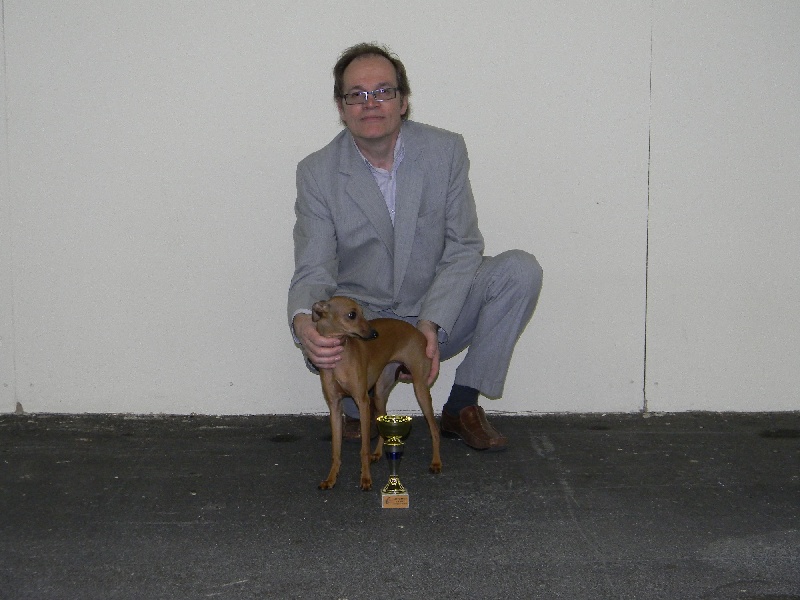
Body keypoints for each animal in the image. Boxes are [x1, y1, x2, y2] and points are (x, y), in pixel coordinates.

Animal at [311, 296, 442, 491]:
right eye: (352, 314)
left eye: (362, 312)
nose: (374, 334)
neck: (340, 358)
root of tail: (419, 332)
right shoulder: (335, 406)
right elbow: (336, 450)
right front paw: (331, 478)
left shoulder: (363, 402)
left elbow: (364, 448)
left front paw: (366, 478)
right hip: (380, 394)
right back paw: (378, 453)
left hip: (420, 389)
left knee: (434, 429)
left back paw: (436, 462)